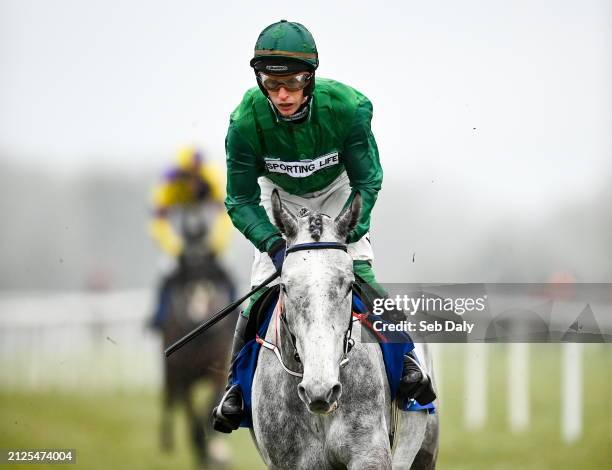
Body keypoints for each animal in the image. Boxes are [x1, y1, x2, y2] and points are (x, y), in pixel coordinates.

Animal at [161, 208, 235, 466]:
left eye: (210, 278)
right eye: (186, 278)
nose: (197, 314)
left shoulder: (219, 369)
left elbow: (209, 405)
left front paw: (216, 452)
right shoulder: (182, 374)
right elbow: (190, 413)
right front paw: (202, 450)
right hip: (170, 373)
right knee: (168, 399)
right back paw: (166, 443)